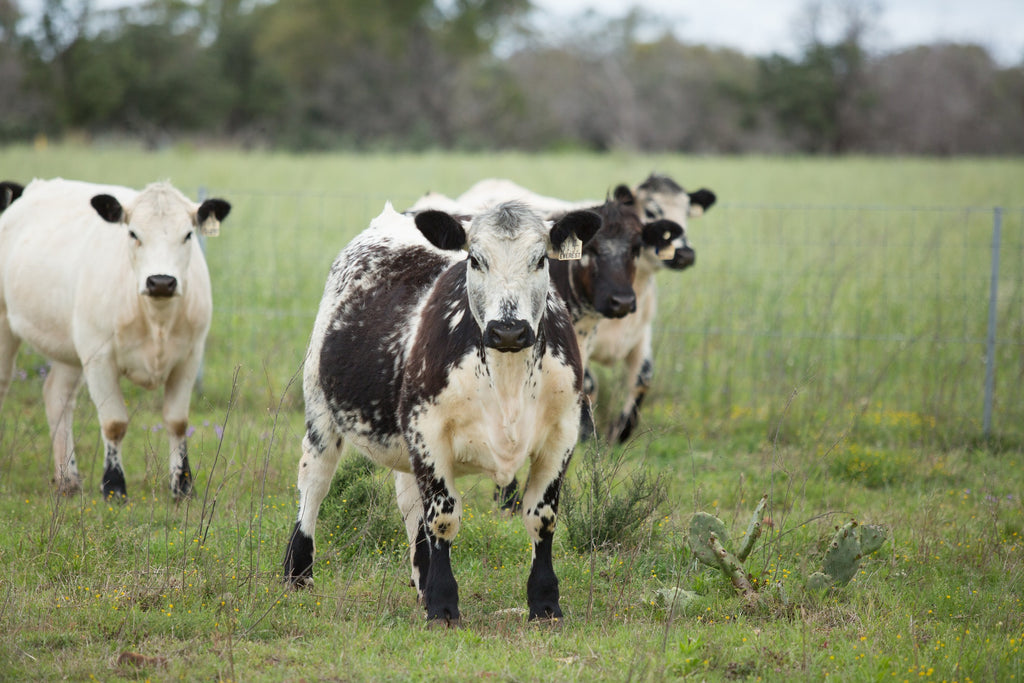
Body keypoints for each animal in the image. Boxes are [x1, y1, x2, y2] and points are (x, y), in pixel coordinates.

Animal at [0, 179, 230, 501]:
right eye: (133, 233)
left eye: (187, 235)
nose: (161, 281)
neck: (156, 319)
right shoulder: (99, 358)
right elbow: (114, 423)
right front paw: (113, 485)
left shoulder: (189, 357)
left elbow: (177, 421)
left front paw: (183, 486)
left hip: (71, 349)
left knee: (57, 396)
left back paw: (68, 479)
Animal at [282, 198, 598, 626]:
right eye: (475, 259)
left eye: (540, 259)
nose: (509, 330)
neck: (507, 379)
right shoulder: (427, 431)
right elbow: (443, 518)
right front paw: (444, 604)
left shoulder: (561, 434)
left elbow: (541, 517)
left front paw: (545, 602)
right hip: (320, 409)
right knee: (314, 481)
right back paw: (298, 573)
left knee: (409, 502)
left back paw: (421, 579)